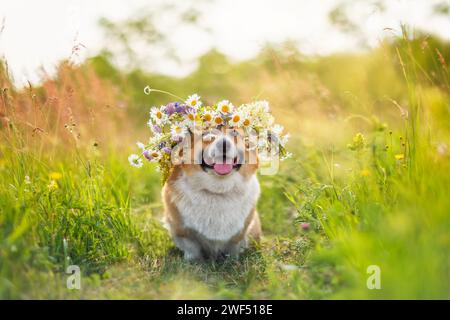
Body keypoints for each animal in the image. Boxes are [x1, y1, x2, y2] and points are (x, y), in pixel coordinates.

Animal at [163, 126, 262, 262]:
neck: (218, 191)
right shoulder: (182, 232)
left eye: (234, 133)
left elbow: (234, 247)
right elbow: (192, 248)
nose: (224, 145)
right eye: (207, 134)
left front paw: (232, 262)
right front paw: (193, 262)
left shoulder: (240, 234)